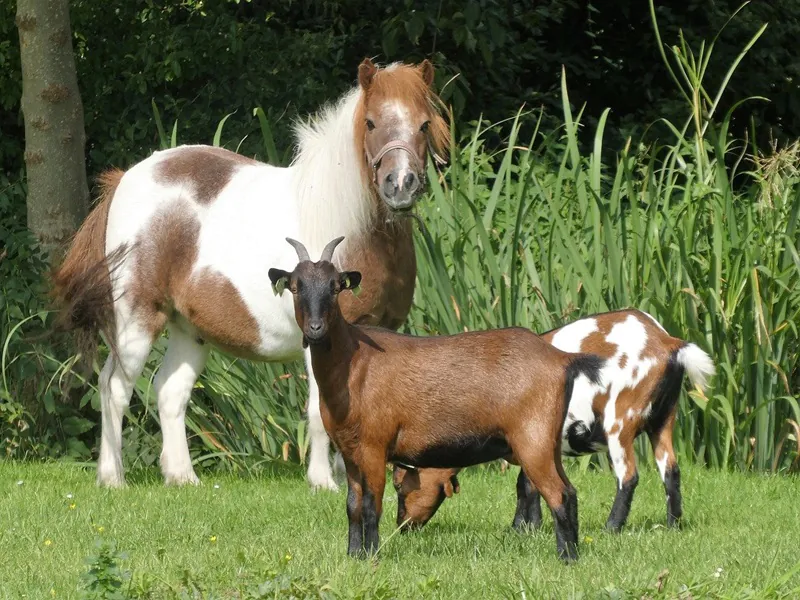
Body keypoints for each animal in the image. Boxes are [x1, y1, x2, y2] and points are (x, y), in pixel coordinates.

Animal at [52, 58, 446, 488]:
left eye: (424, 124)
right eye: (371, 122)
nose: (400, 184)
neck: (350, 228)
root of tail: (125, 178)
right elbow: (319, 411)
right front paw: (323, 482)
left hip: (190, 330)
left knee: (170, 392)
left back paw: (182, 477)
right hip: (136, 321)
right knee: (114, 389)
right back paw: (113, 478)